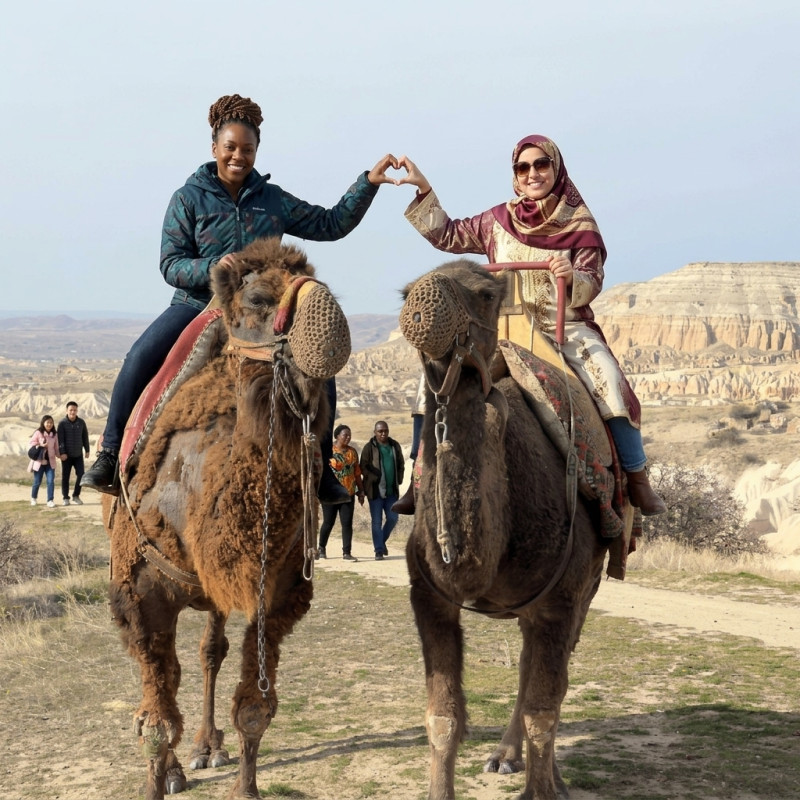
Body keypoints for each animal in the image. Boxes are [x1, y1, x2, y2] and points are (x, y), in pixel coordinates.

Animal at [103, 238, 350, 800]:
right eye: (259, 298)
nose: (329, 324)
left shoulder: (275, 592)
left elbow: (255, 708)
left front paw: (244, 784)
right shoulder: (141, 591)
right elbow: (154, 722)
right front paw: (161, 774)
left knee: (209, 649)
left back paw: (206, 745)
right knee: (166, 678)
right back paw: (179, 765)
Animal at [400, 259, 613, 800]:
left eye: (484, 294)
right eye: (404, 292)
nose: (422, 305)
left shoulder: (561, 599)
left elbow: (544, 710)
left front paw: (544, 790)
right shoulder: (427, 595)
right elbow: (442, 717)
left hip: (586, 585)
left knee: (553, 681)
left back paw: (545, 773)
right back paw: (505, 757)